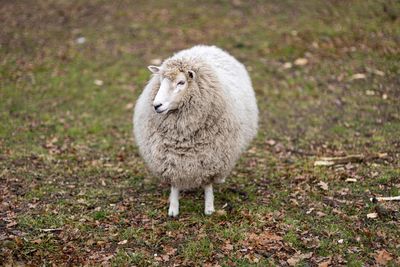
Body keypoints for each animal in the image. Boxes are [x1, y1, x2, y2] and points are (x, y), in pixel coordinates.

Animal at [134, 45, 260, 218]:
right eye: (160, 81)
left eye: (181, 82)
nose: (156, 105)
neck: (183, 136)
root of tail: (207, 47)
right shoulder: (170, 158)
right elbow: (174, 183)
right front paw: (173, 208)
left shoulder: (210, 157)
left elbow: (207, 183)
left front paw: (209, 207)